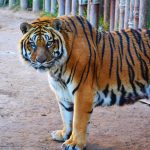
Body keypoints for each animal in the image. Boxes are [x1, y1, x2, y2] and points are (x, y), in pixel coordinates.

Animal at [19, 15, 150, 150]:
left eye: (49, 43)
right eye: (32, 44)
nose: (41, 60)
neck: (57, 69)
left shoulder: (83, 91)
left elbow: (78, 120)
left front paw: (74, 143)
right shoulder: (62, 93)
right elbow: (66, 115)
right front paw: (63, 134)